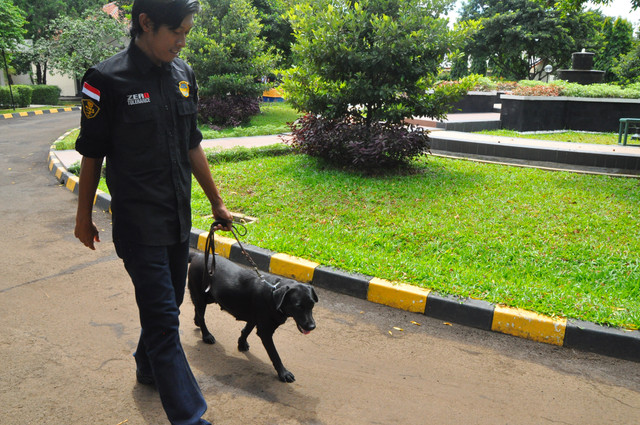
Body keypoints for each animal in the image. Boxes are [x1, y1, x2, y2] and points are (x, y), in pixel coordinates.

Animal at [186, 250, 318, 382]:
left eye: (312, 304)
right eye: (298, 306)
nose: (312, 327)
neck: (274, 294)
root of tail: (198, 255)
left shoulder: (254, 317)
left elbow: (246, 330)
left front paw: (241, 343)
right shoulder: (265, 332)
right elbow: (275, 355)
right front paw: (283, 373)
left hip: (209, 297)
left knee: (197, 309)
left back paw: (196, 321)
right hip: (201, 295)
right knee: (201, 315)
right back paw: (206, 335)